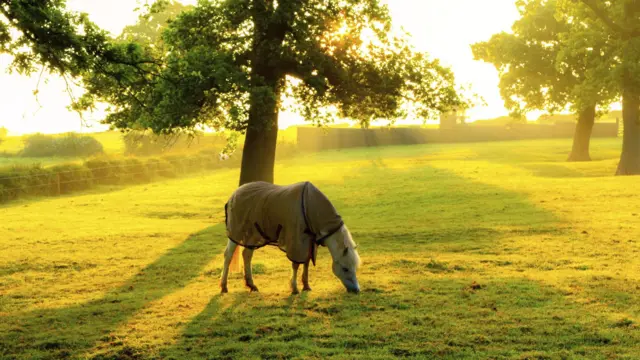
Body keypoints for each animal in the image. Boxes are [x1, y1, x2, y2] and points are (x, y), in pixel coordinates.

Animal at [219, 181, 360, 294]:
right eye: (345, 268)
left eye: (355, 267)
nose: (356, 290)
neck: (309, 206)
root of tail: (234, 194)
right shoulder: (296, 240)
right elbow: (296, 264)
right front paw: (294, 288)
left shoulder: (308, 242)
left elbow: (306, 263)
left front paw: (306, 286)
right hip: (236, 233)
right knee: (228, 255)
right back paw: (224, 287)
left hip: (253, 235)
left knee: (247, 255)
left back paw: (252, 285)